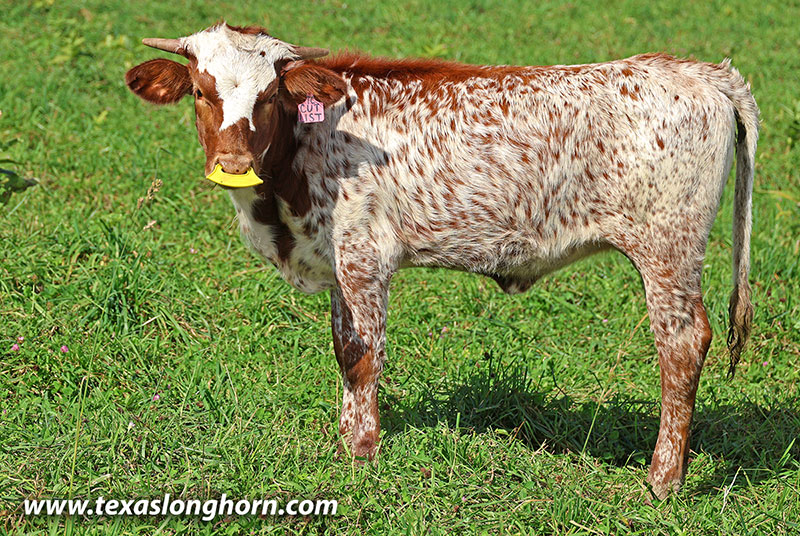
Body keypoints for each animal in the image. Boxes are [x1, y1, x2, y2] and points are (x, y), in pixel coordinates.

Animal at [125, 22, 758, 499]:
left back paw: (663, 480)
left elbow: (363, 356)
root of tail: (696, 69)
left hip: (668, 248)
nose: (232, 163)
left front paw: (362, 455)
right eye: (201, 92)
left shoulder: (364, 257)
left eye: (268, 96)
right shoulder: (337, 264)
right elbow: (342, 351)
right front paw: (346, 444)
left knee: (681, 345)